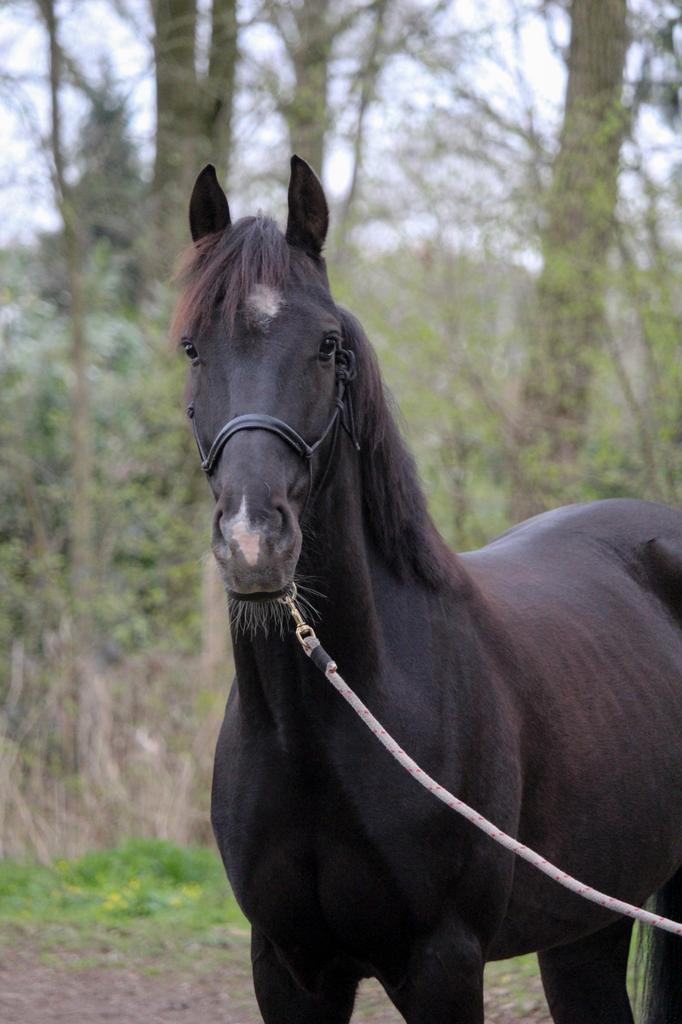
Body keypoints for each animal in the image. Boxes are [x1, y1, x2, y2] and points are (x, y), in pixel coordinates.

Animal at [173, 156, 682, 1023]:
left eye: (328, 346)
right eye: (192, 348)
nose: (252, 543)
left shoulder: (444, 962)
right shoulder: (287, 967)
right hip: (586, 923)